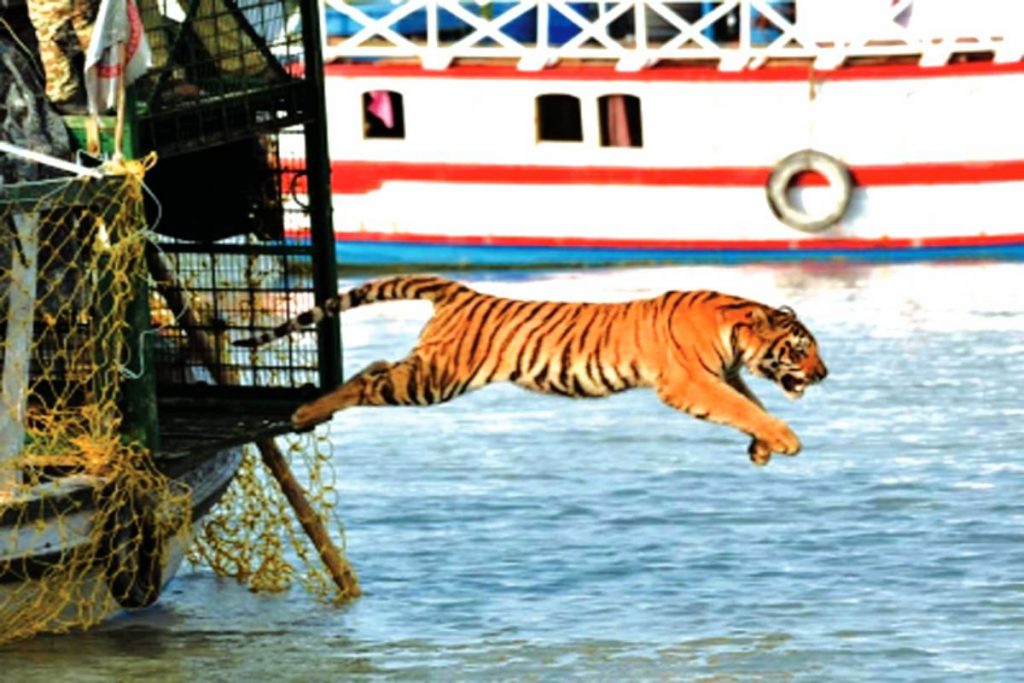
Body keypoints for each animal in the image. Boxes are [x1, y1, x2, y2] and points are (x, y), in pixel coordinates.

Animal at [235, 274, 827, 466]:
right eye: (801, 349)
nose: (823, 375)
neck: (735, 329)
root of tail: (460, 291)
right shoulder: (690, 382)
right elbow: (741, 407)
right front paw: (784, 440)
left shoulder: (724, 374)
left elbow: (750, 404)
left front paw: (761, 448)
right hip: (433, 380)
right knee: (367, 379)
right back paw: (304, 410)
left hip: (427, 370)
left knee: (377, 365)